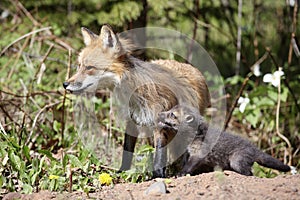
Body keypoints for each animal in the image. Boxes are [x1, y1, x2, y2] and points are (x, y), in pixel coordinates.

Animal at [62, 24, 210, 177]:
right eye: (79, 66)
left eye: (89, 67)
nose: (65, 84)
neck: (136, 95)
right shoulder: (131, 121)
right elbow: (127, 151)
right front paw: (122, 172)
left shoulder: (160, 122)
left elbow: (160, 155)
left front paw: (158, 176)